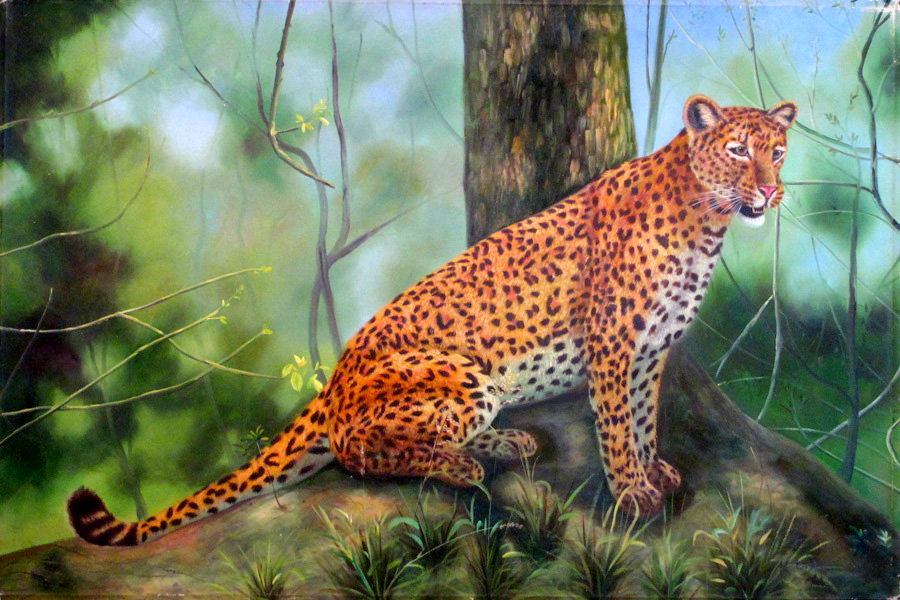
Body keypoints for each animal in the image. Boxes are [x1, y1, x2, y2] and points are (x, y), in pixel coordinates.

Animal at [67, 95, 797, 546]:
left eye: (779, 151)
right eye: (738, 150)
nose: (770, 189)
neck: (706, 223)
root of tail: (333, 381)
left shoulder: (650, 352)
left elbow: (643, 419)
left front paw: (656, 473)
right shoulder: (616, 348)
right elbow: (617, 427)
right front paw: (633, 493)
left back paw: (506, 444)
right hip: (464, 380)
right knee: (358, 450)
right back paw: (461, 465)